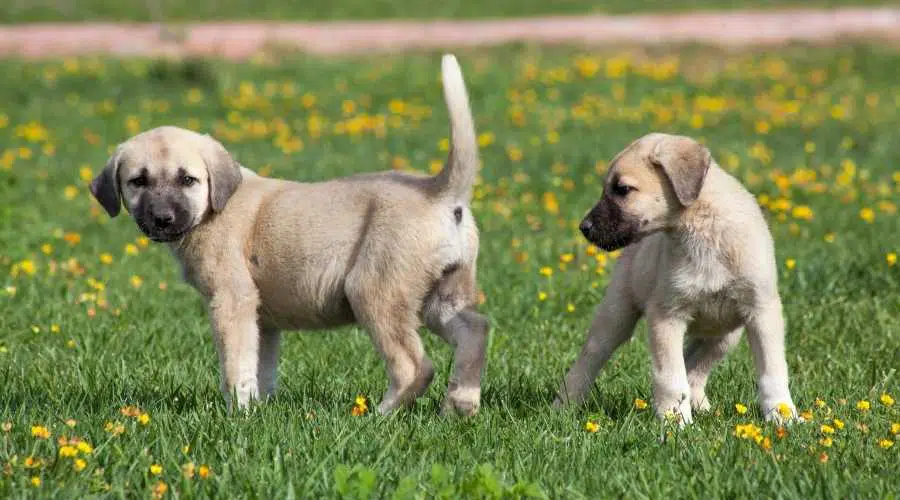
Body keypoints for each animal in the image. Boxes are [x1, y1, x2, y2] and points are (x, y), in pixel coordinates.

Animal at [88, 54, 488, 416]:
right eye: (138, 181)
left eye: (188, 179)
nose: (162, 219)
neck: (214, 207)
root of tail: (439, 192)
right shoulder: (262, 319)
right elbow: (259, 368)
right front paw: (258, 410)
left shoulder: (231, 301)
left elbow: (235, 366)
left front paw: (238, 414)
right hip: (442, 296)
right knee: (474, 331)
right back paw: (460, 405)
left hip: (375, 291)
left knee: (415, 367)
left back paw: (380, 415)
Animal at [552, 133, 800, 426]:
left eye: (622, 189)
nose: (584, 228)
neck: (705, 232)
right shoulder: (666, 315)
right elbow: (670, 376)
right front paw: (675, 422)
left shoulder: (761, 311)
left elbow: (773, 371)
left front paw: (782, 414)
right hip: (615, 316)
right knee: (588, 360)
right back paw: (564, 406)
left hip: (724, 336)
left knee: (694, 365)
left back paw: (701, 406)